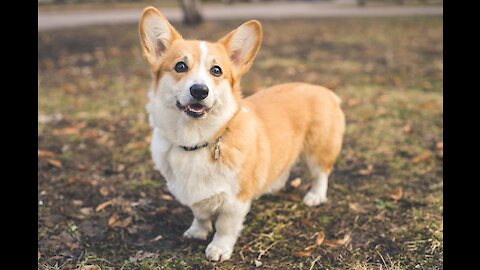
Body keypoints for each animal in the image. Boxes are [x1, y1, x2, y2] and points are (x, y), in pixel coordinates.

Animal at [139, 6, 344, 262]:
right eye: (180, 66)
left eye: (216, 70)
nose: (200, 91)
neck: (196, 140)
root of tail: (325, 90)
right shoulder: (195, 195)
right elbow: (200, 214)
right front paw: (197, 231)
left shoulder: (235, 201)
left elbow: (225, 226)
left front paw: (219, 249)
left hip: (318, 150)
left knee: (321, 174)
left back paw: (315, 196)